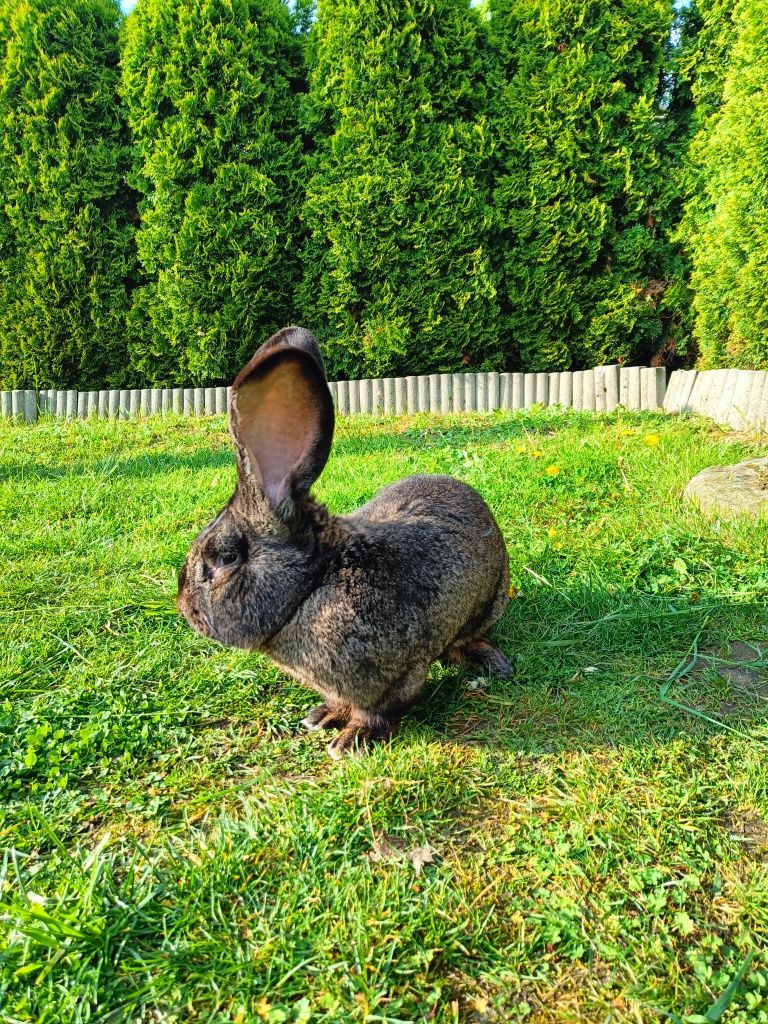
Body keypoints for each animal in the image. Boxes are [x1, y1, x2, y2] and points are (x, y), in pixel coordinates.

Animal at [177, 327, 507, 761]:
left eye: (225, 556)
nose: (183, 605)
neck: (314, 583)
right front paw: (324, 716)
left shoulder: (404, 671)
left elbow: (380, 709)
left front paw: (353, 739)